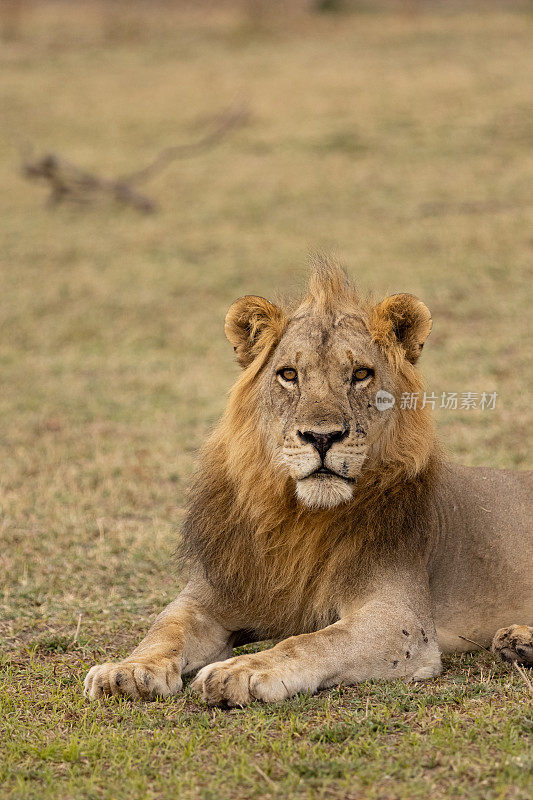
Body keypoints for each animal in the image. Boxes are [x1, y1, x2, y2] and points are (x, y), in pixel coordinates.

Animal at [84, 260, 532, 704]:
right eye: (288, 374)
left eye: (361, 374)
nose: (321, 437)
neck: (298, 516)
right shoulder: (208, 595)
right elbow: (164, 629)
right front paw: (127, 670)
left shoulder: (403, 620)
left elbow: (311, 642)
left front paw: (243, 670)